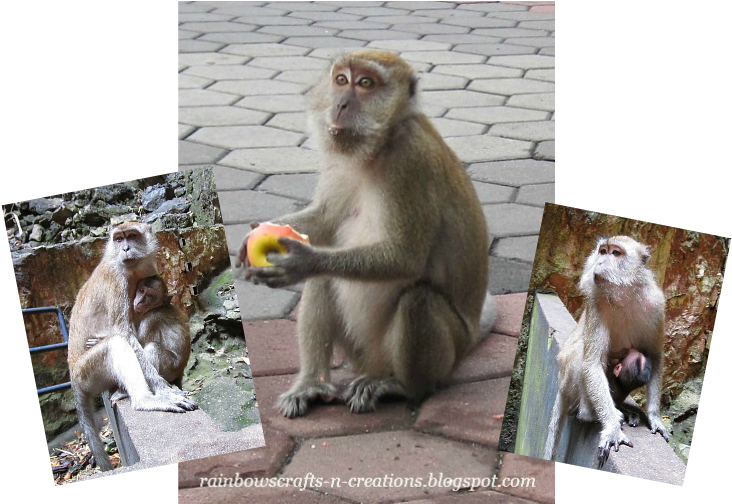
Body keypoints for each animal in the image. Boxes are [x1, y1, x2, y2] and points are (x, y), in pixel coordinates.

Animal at [68, 222, 196, 471]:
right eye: (119, 239)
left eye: (132, 236)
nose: (125, 248)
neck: (132, 270)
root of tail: (72, 375)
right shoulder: (116, 280)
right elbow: (124, 333)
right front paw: (162, 387)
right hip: (86, 373)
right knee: (117, 345)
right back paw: (144, 400)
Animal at [235, 49, 496, 418]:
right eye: (341, 80)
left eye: (365, 84)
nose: (341, 103)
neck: (379, 148)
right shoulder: (339, 163)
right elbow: (325, 220)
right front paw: (253, 238)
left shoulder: (410, 162)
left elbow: (406, 257)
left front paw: (305, 261)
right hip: (358, 351)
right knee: (324, 281)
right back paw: (312, 383)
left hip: (441, 357)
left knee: (418, 299)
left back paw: (401, 386)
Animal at [543, 235, 668, 467]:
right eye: (603, 251)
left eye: (616, 253)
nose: (600, 262)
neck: (624, 295)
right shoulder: (596, 304)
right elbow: (591, 363)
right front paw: (611, 428)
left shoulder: (656, 305)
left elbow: (655, 356)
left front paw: (655, 416)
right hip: (566, 377)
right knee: (581, 357)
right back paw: (590, 414)